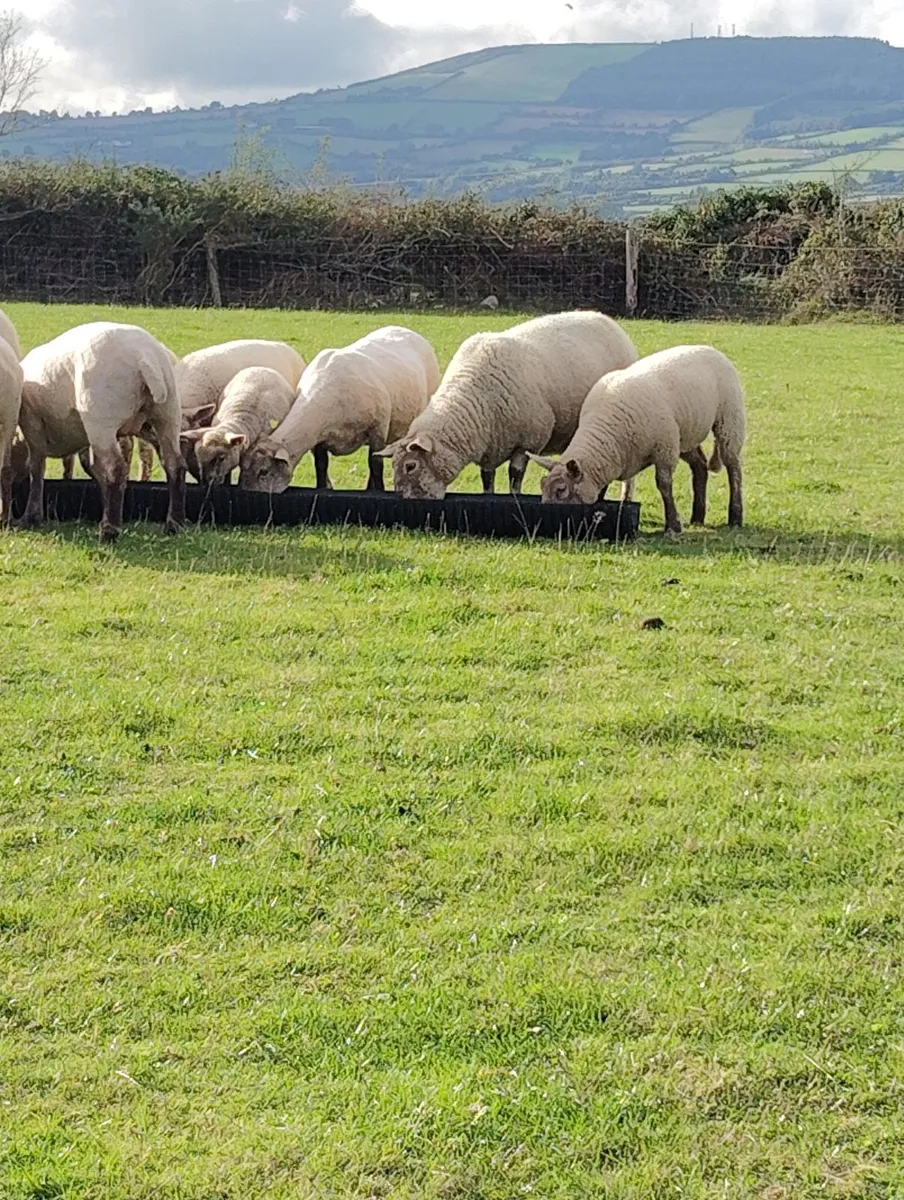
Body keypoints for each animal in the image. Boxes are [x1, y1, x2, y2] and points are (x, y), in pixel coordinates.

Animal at [18, 322, 186, 542]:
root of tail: (145, 356)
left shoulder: (33, 425)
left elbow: (36, 469)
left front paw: (31, 517)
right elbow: (94, 469)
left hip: (100, 418)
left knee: (116, 469)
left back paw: (109, 531)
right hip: (167, 414)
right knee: (174, 464)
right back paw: (174, 525)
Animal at [240, 326, 439, 494]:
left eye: (263, 471)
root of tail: (406, 329)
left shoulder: (378, 428)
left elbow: (375, 463)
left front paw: (378, 491)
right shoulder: (319, 438)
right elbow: (321, 465)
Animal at [377, 311, 638, 499]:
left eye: (410, 466)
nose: (405, 498)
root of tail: (607, 320)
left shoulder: (529, 440)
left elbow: (515, 475)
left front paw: (515, 496)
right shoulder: (489, 445)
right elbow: (487, 478)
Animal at [529, 344, 746, 534]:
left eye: (561, 490)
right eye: (542, 487)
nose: (543, 515)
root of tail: (709, 348)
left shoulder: (664, 450)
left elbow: (664, 486)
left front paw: (672, 525)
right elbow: (603, 488)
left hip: (729, 420)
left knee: (733, 467)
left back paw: (735, 517)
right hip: (684, 435)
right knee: (700, 466)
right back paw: (697, 517)